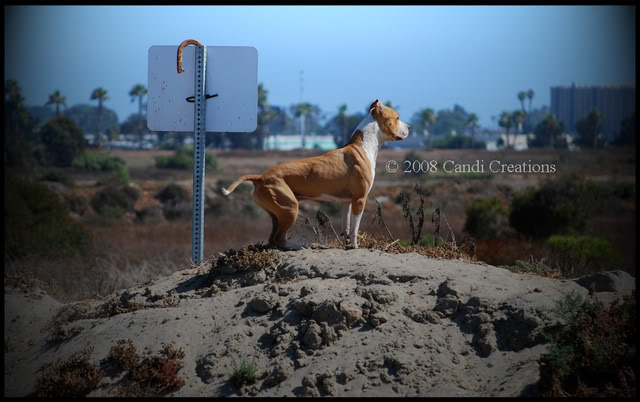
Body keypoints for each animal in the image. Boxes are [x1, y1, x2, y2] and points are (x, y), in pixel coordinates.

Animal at [222, 99, 408, 250]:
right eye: (398, 117)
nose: (409, 127)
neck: (365, 143)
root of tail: (260, 177)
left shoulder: (347, 202)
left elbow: (347, 227)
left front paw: (347, 244)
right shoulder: (359, 200)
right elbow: (355, 227)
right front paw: (355, 246)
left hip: (277, 212)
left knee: (273, 238)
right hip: (290, 208)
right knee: (279, 238)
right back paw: (299, 246)